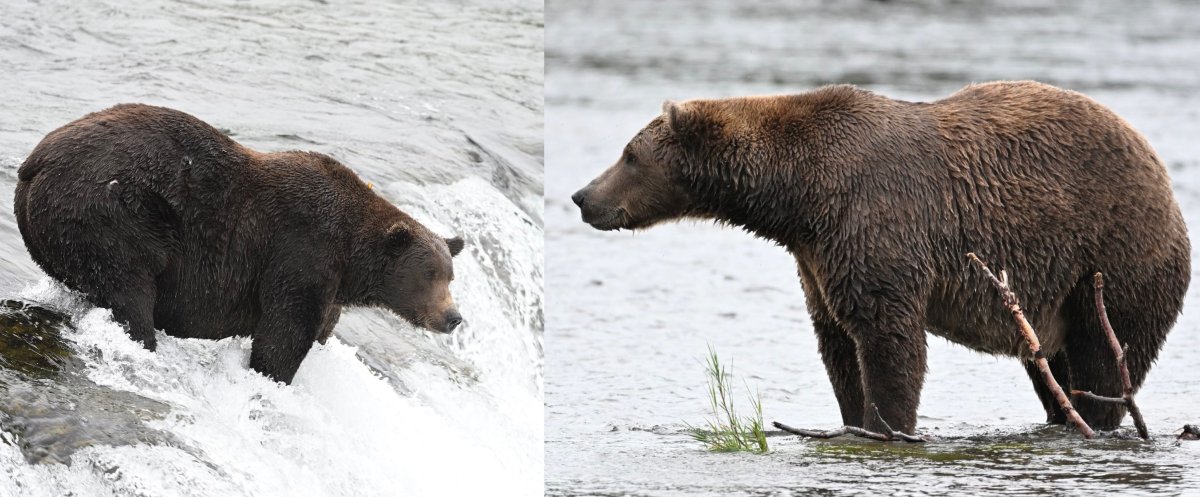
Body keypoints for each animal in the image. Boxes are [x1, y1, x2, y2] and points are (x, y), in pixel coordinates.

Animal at [15, 103, 465, 384]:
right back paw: (143, 339)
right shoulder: (302, 253)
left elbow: (319, 329)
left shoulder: (330, 285)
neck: (352, 260)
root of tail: (36, 161)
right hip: (112, 213)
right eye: (429, 275)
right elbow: (284, 334)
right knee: (129, 289)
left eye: (450, 276)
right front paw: (272, 376)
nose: (453, 317)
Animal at [572, 81, 1190, 435]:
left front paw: (888, 423)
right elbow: (838, 343)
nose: (582, 197)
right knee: (1052, 370)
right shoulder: (818, 257)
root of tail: (1163, 177)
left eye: (628, 154)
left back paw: (1099, 419)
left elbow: (887, 339)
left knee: (1105, 357)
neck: (798, 196)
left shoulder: (875, 223)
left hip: (1113, 256)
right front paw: (852, 420)